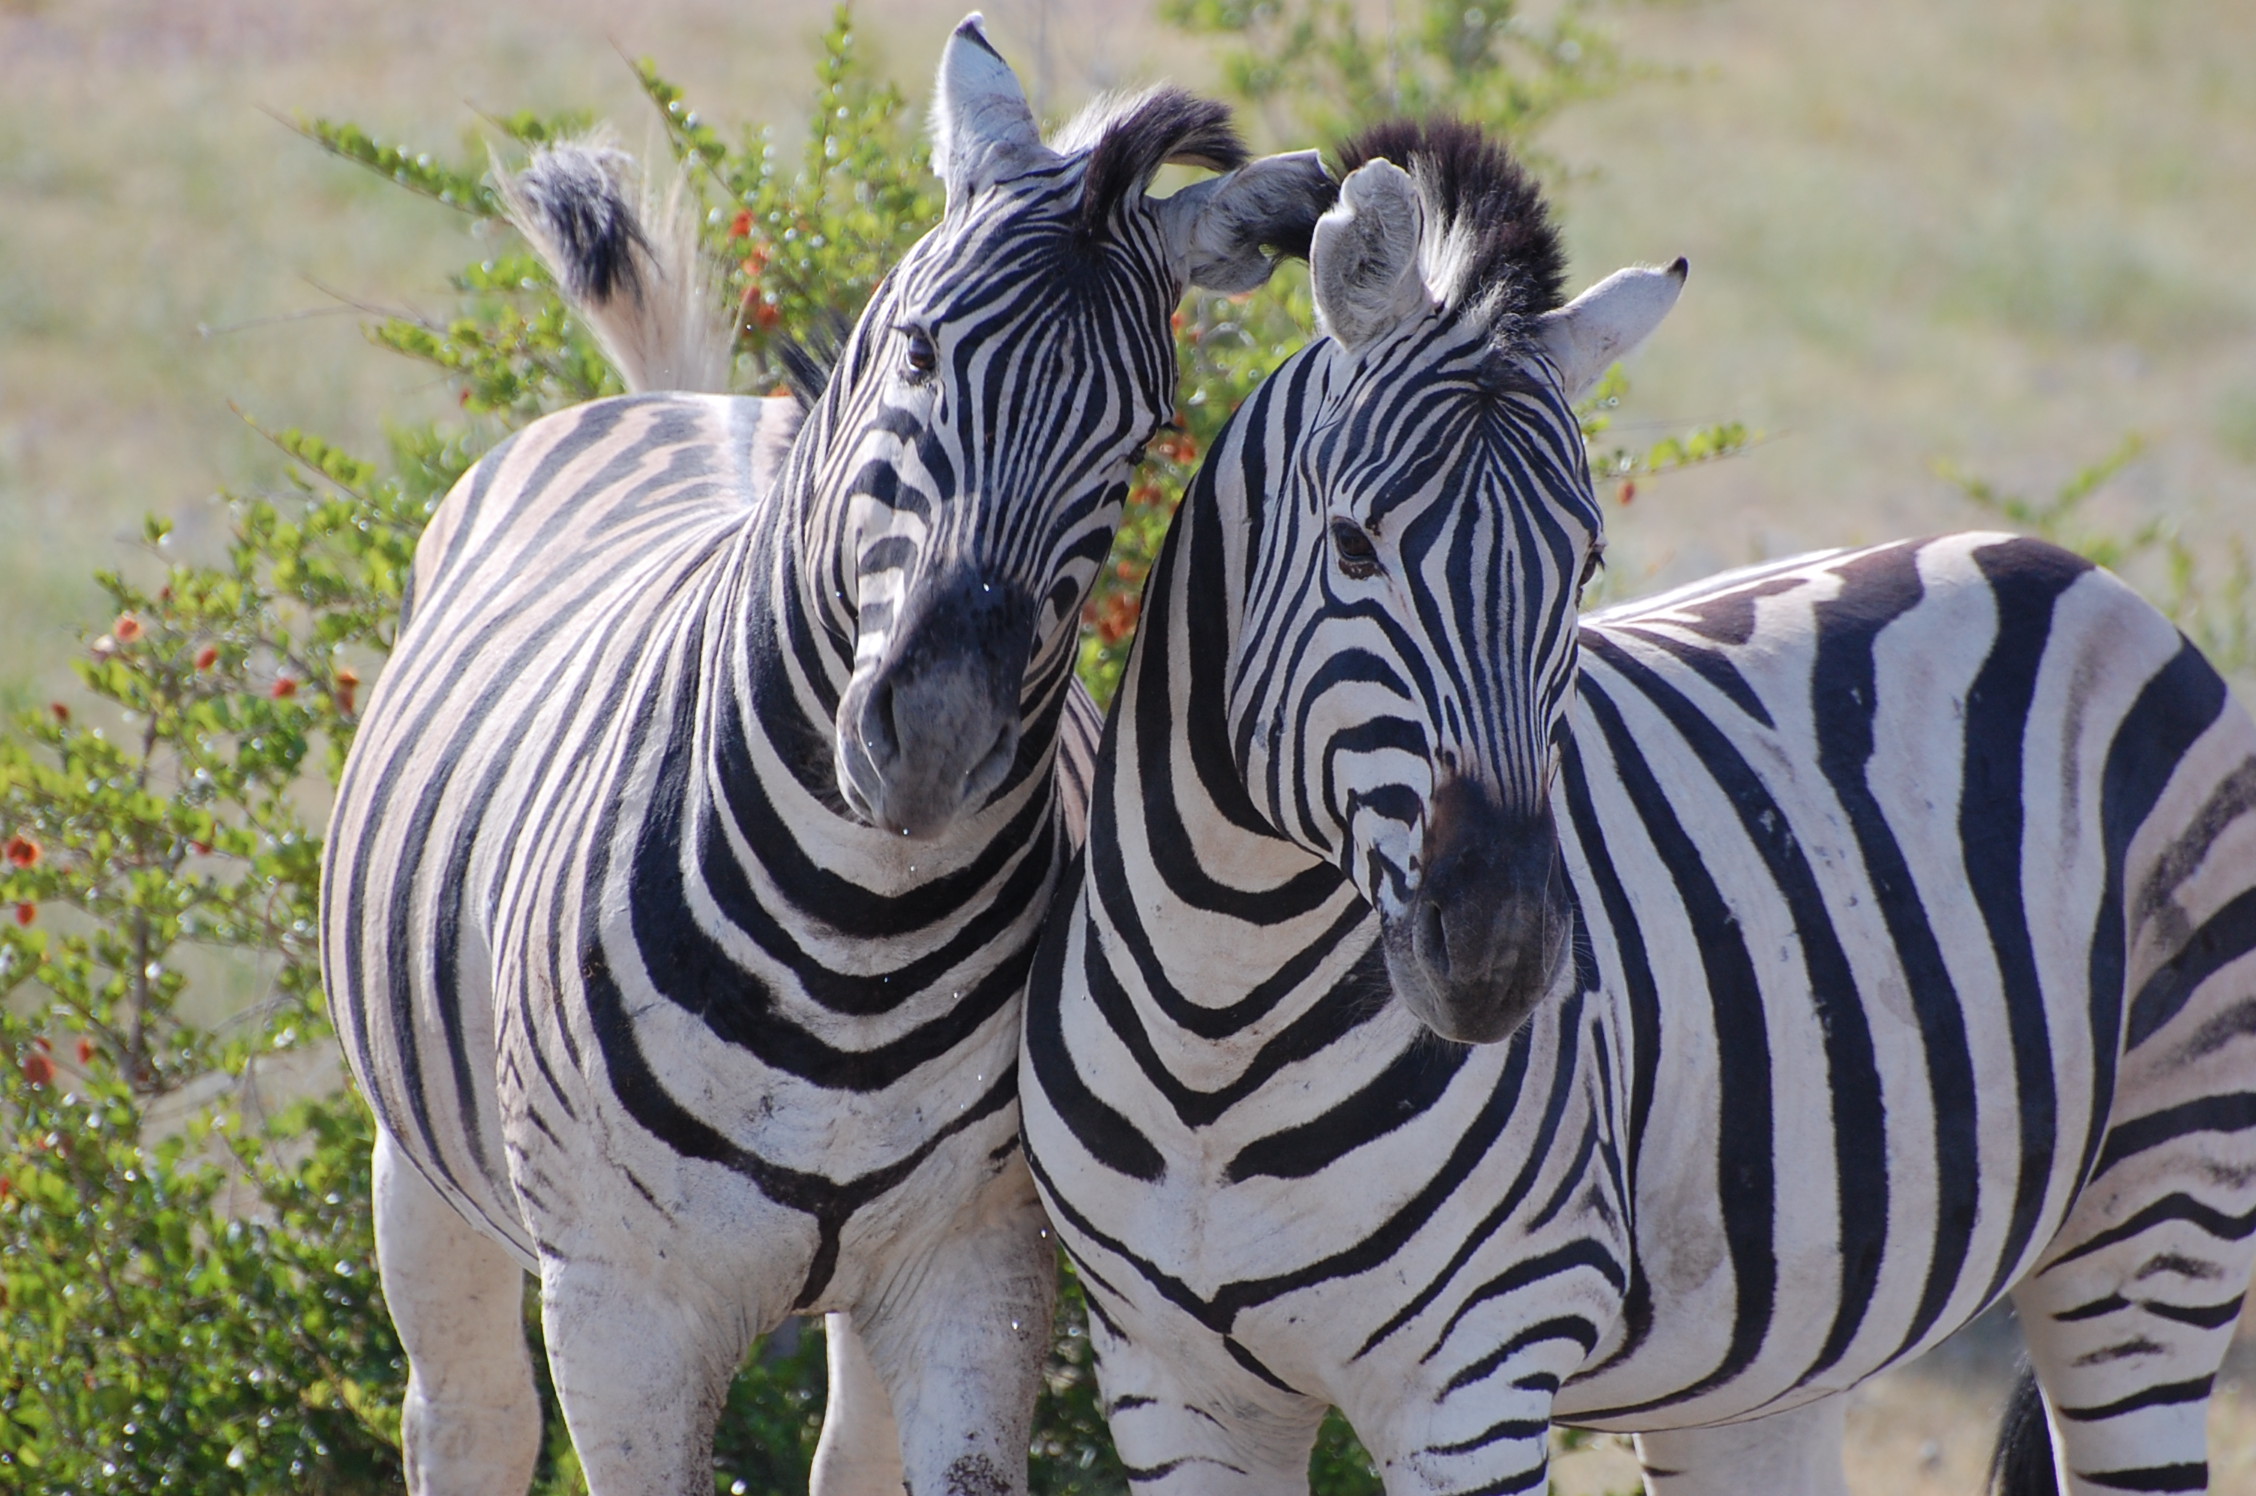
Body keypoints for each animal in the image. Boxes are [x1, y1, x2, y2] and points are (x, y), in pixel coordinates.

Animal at [322, 14, 1335, 1496]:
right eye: (917, 352)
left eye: (1145, 431)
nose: (939, 737)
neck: (860, 930)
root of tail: (688, 398)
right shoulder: (621, 1308)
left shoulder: (983, 1265)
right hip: (421, 1167)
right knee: (468, 1417)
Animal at [1019, 120, 2256, 1496]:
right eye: (1352, 547)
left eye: (1586, 568)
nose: (1503, 954)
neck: (1216, 1021)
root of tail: (2065, 567)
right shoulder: (1169, 1383)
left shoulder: (1475, 1372)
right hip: (1777, 1358)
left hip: (2159, 1216)